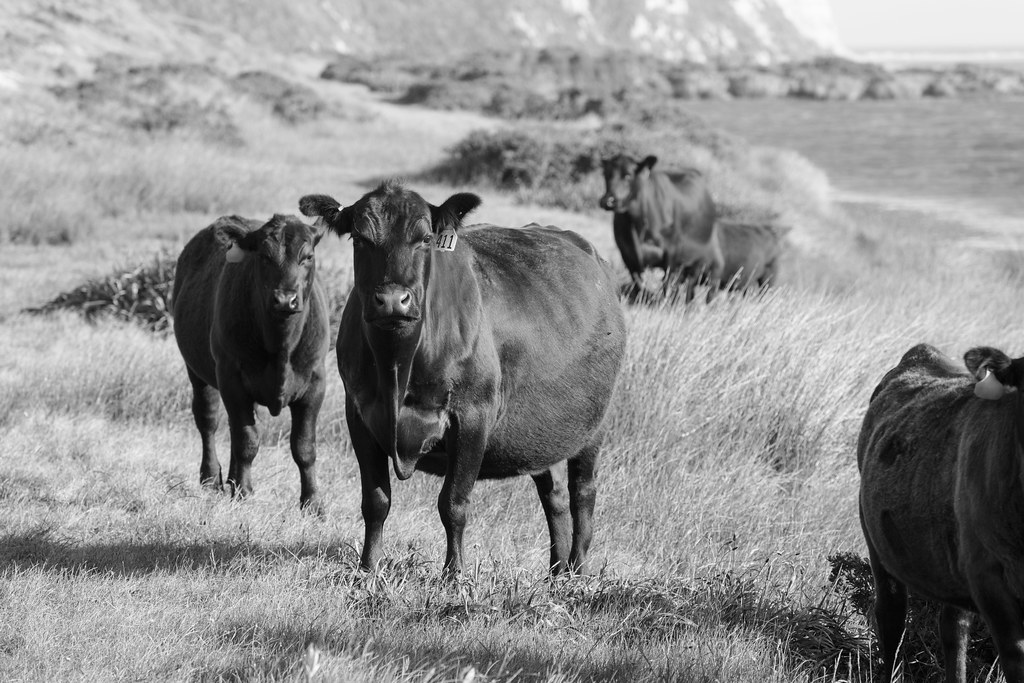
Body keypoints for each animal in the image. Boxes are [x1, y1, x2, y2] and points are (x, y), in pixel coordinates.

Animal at [172, 214, 330, 513]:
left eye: (308, 256)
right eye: (264, 257)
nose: (285, 299)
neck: (281, 345)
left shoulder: (315, 383)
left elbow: (304, 446)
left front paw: (313, 502)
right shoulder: (231, 378)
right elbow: (247, 440)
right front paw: (243, 492)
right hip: (197, 371)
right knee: (208, 420)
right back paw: (212, 478)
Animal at [299, 180, 627, 577]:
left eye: (425, 238)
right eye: (359, 238)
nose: (393, 300)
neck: (398, 367)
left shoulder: (472, 417)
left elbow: (453, 503)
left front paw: (454, 576)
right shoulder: (359, 414)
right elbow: (375, 501)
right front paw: (368, 568)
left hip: (594, 426)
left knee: (583, 491)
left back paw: (577, 571)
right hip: (540, 430)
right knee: (555, 494)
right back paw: (556, 572)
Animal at [858, 343, 1024, 682]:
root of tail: (924, 353)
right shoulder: (989, 578)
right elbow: (1016, 657)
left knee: (953, 628)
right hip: (876, 538)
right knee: (892, 615)